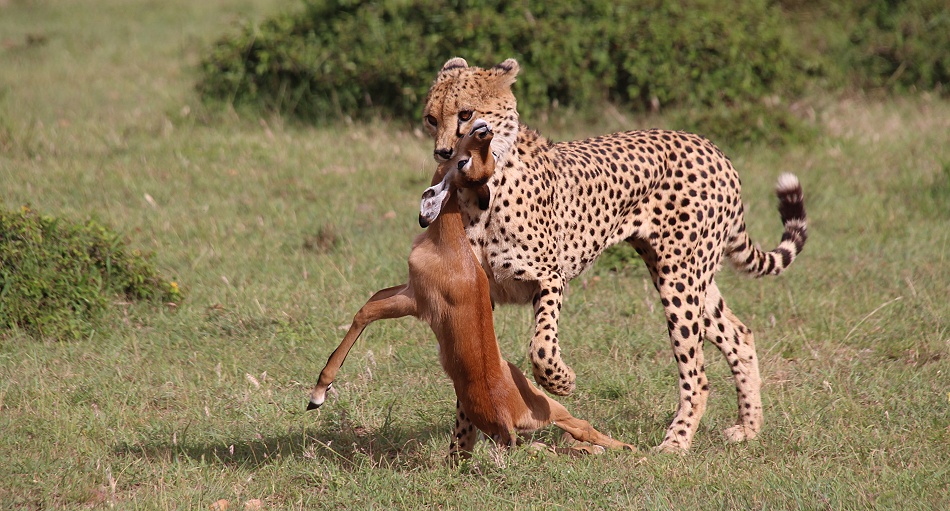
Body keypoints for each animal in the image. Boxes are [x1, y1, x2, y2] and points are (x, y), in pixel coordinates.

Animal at [308, 120, 635, 460]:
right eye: (470, 160)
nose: (483, 129)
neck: (449, 243)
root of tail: (506, 415)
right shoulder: (408, 287)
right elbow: (372, 298)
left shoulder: (415, 302)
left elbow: (365, 311)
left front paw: (318, 394)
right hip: (540, 417)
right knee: (575, 430)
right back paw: (623, 449)